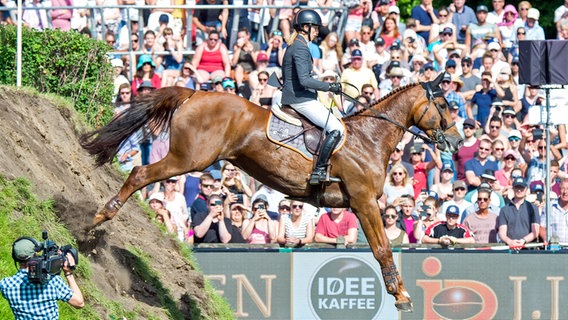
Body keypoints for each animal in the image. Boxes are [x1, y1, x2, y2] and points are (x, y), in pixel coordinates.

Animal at [80, 74, 462, 312]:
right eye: (443, 104)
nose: (457, 142)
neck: (368, 137)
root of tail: (196, 93)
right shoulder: (364, 201)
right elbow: (383, 249)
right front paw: (401, 295)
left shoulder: (357, 205)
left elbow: (378, 248)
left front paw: (399, 292)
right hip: (188, 158)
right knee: (140, 174)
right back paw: (96, 221)